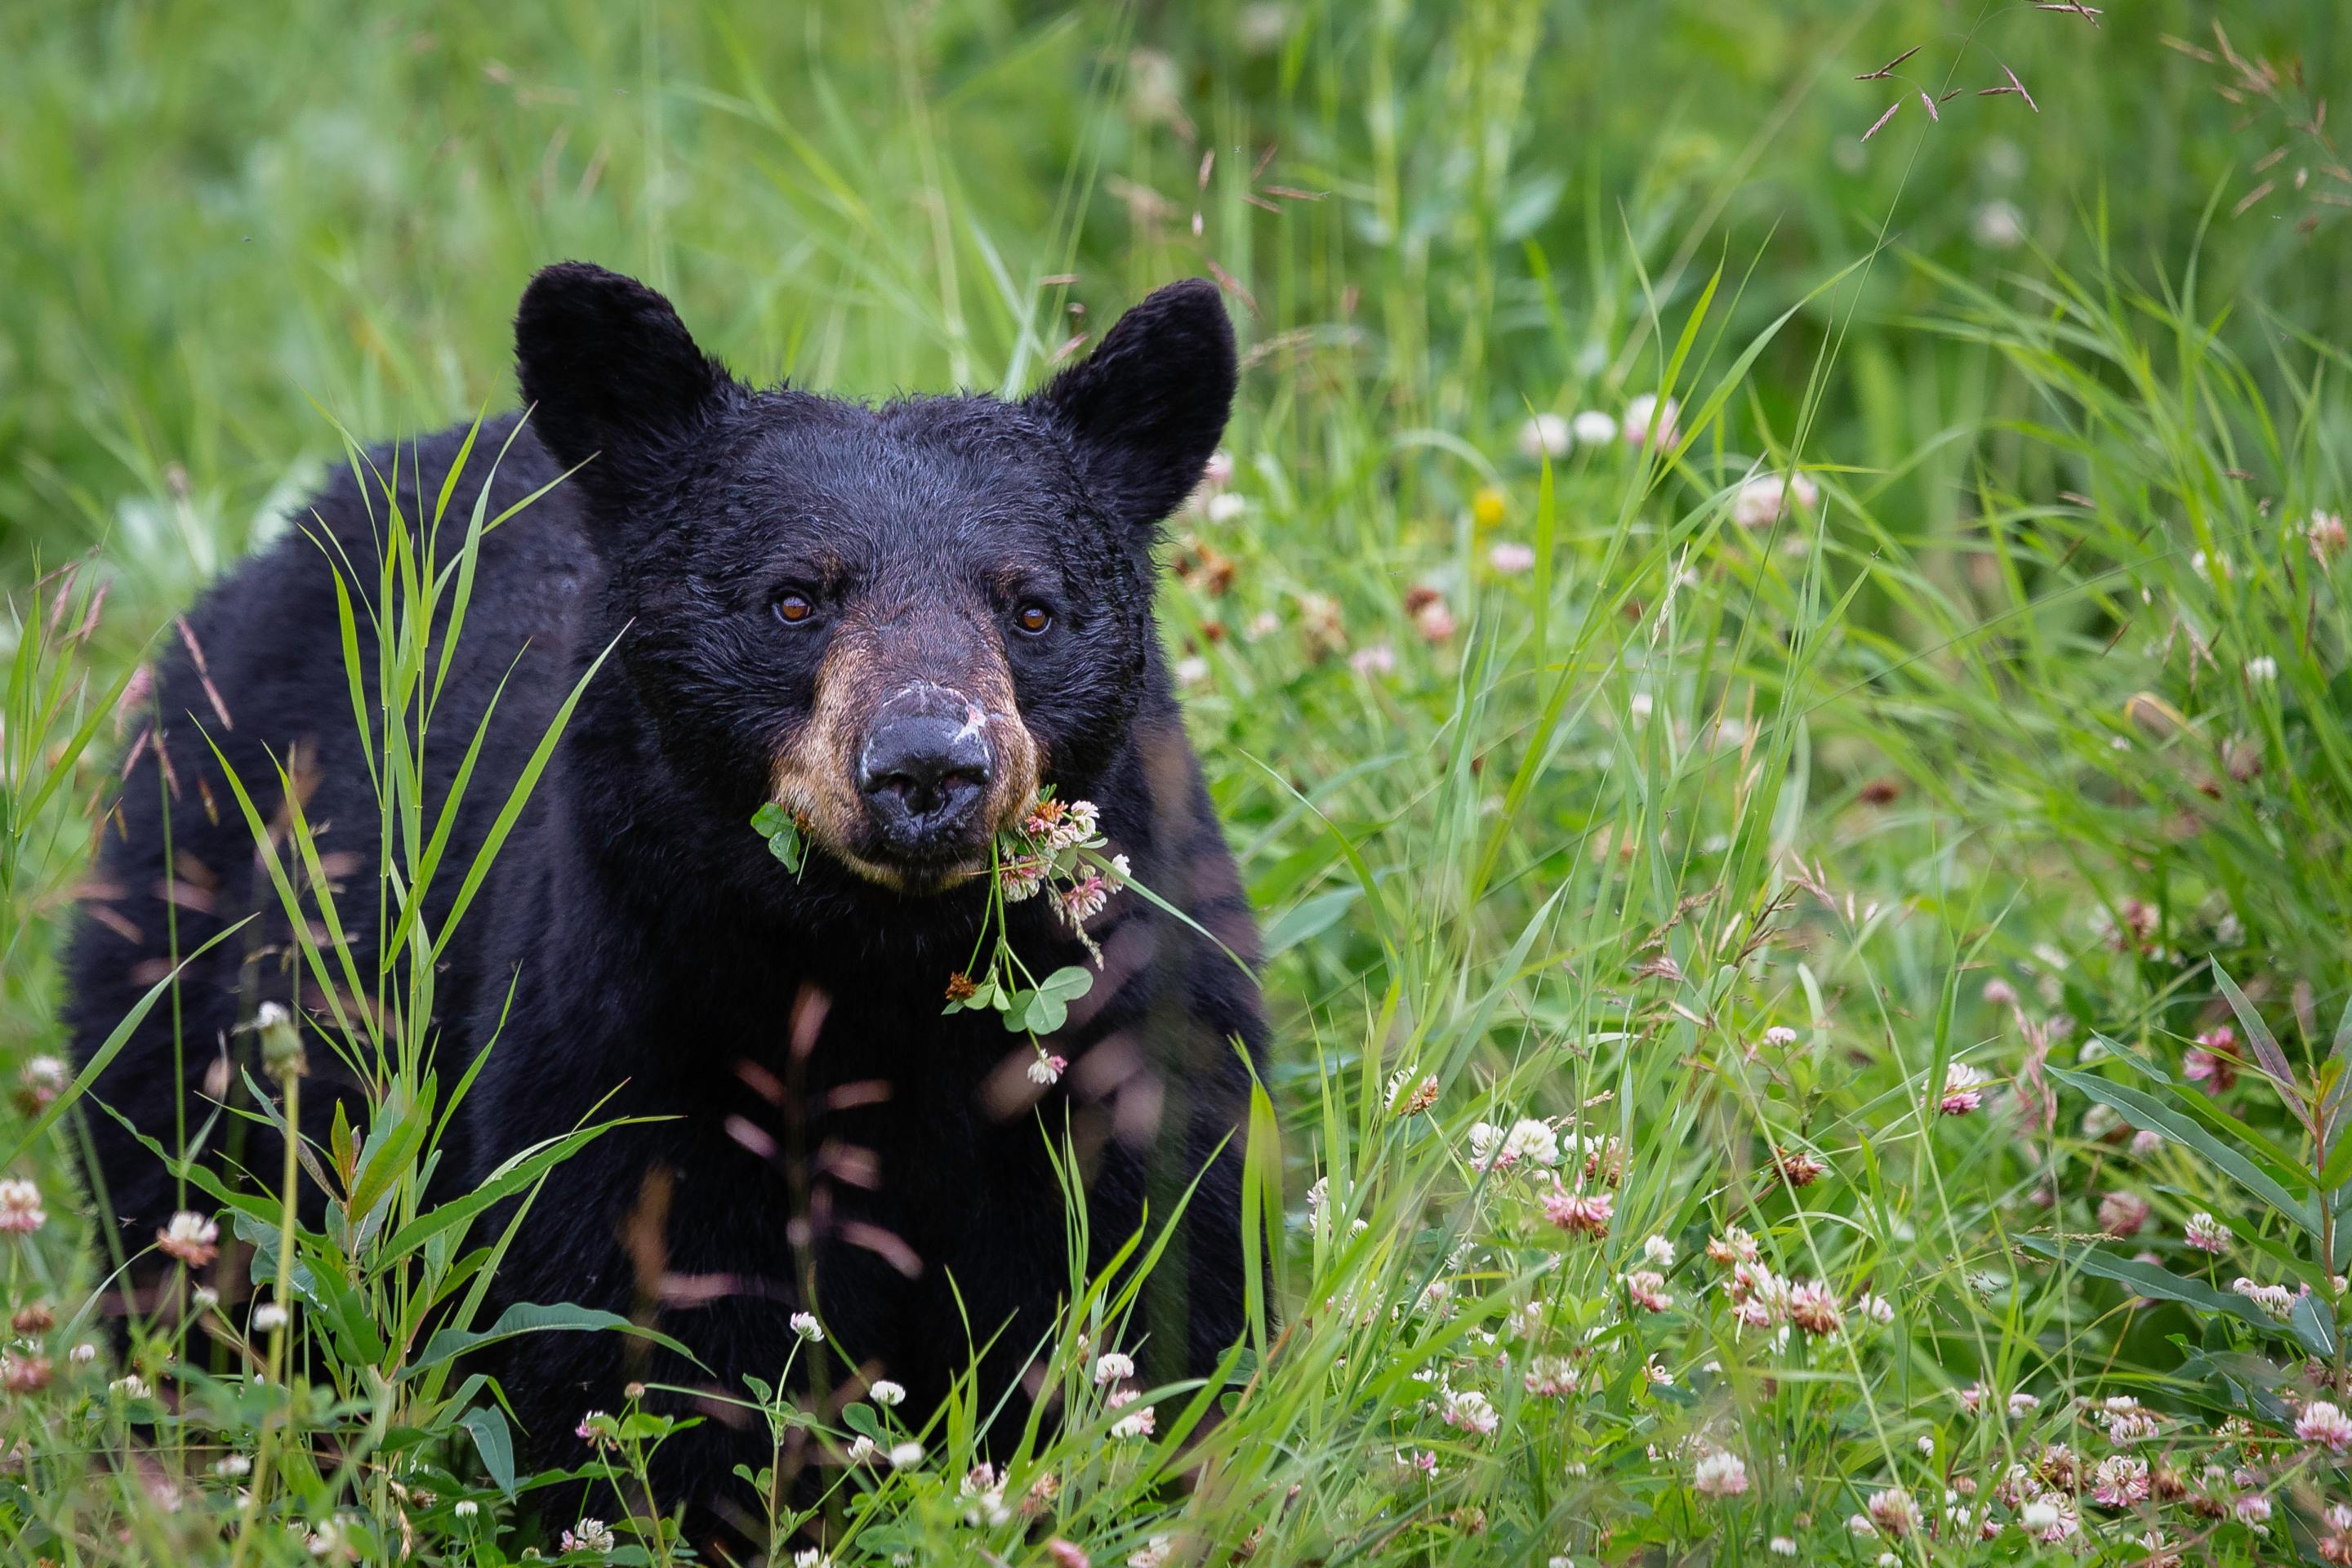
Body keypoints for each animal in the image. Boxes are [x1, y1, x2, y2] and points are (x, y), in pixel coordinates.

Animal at [64, 263, 1270, 1542]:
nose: (927, 768)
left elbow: (1158, 1284)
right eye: (794, 601)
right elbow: (640, 1332)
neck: (880, 971)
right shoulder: (632, 1030)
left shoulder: (1129, 1029)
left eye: (1031, 609)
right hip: (189, 948)